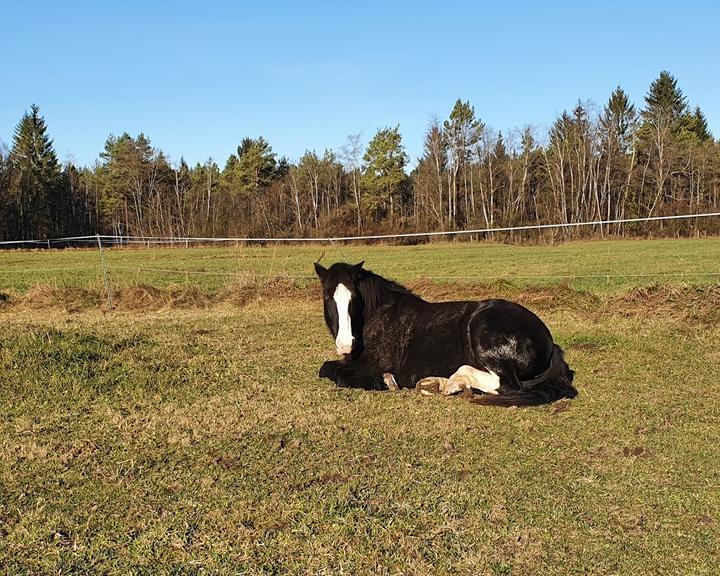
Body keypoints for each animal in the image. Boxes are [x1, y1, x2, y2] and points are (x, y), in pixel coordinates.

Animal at [316, 260, 580, 404]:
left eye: (354, 298)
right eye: (328, 296)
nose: (345, 344)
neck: (379, 313)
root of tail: (550, 342)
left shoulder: (373, 362)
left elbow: (330, 370)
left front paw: (387, 381)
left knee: (505, 385)